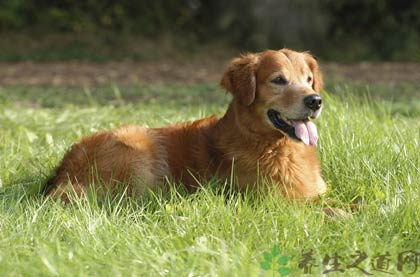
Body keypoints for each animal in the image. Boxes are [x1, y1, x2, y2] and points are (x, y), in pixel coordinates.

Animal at [44, 48, 330, 203]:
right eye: (278, 80)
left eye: (308, 79)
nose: (315, 100)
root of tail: (64, 168)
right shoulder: (276, 201)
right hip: (137, 148)